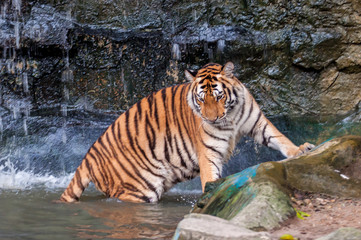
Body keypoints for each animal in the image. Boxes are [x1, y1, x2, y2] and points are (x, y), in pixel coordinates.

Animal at [59, 61, 312, 202]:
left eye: (219, 96)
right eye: (201, 99)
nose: (211, 118)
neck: (230, 117)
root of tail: (90, 154)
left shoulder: (257, 122)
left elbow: (278, 137)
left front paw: (301, 149)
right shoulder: (208, 150)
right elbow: (210, 176)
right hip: (138, 189)